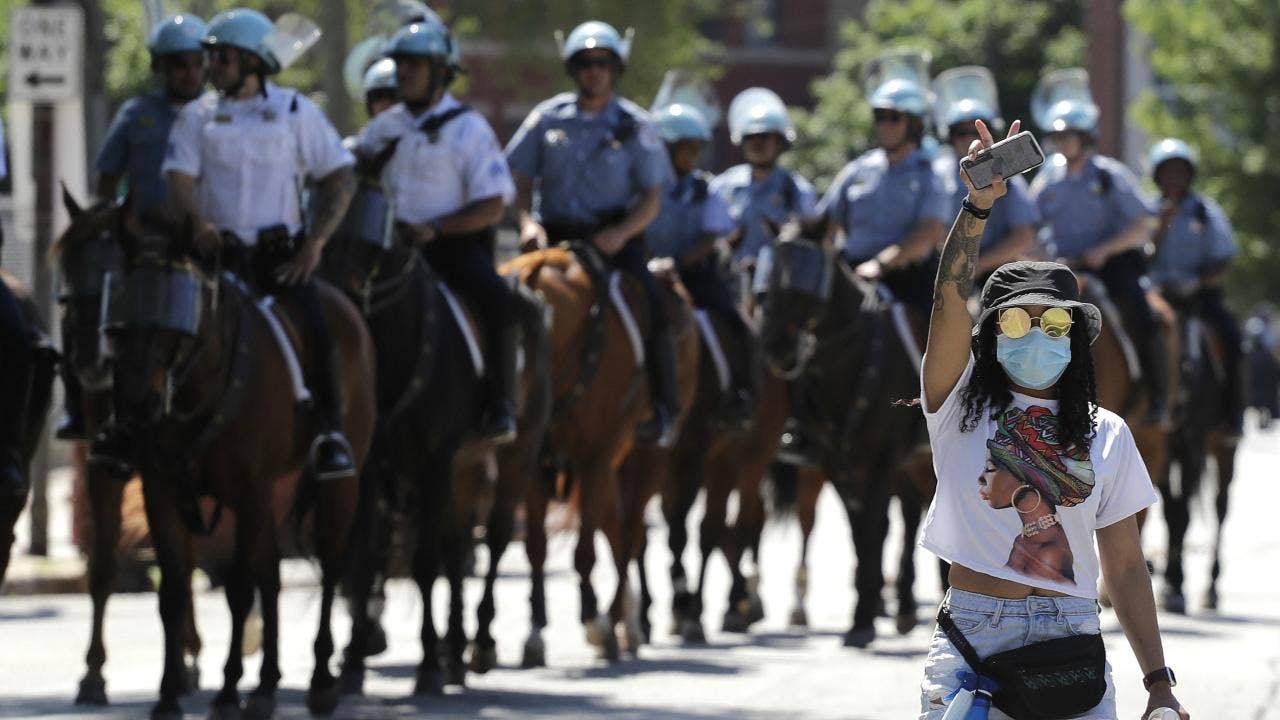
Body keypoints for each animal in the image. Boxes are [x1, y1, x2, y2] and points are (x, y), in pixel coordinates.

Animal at [108, 218, 375, 720]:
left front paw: (229, 690)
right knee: (271, 573)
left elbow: (238, 588)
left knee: (331, 564)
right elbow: (174, 592)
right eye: (125, 301)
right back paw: (267, 685)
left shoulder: (249, 493)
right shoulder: (162, 492)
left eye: (177, 306)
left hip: (339, 484)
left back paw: (320, 680)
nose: (135, 403)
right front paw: (168, 695)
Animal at [319, 217, 552, 693]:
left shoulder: (435, 462)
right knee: (458, 545)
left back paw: (479, 644)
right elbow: (367, 556)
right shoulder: (374, 469)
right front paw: (353, 661)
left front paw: (427, 665)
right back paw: (455, 649)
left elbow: (426, 562)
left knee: (494, 539)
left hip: (515, 454)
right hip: (467, 468)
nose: (337, 290)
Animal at [757, 225, 931, 648]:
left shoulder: (882, 460)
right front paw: (862, 613)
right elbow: (858, 530)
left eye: (802, 286)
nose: (774, 346)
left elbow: (875, 527)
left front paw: (864, 617)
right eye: (766, 282)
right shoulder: (835, 463)